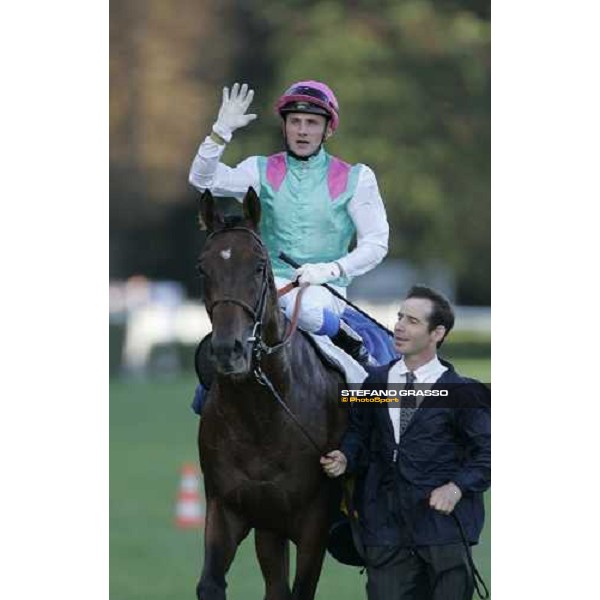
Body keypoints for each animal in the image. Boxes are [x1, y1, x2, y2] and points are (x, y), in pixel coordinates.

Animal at [196, 188, 346, 600]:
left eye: (260, 267)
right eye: (202, 268)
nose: (228, 351)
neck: (262, 414)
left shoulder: (314, 524)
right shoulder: (229, 507)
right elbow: (210, 584)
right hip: (269, 528)